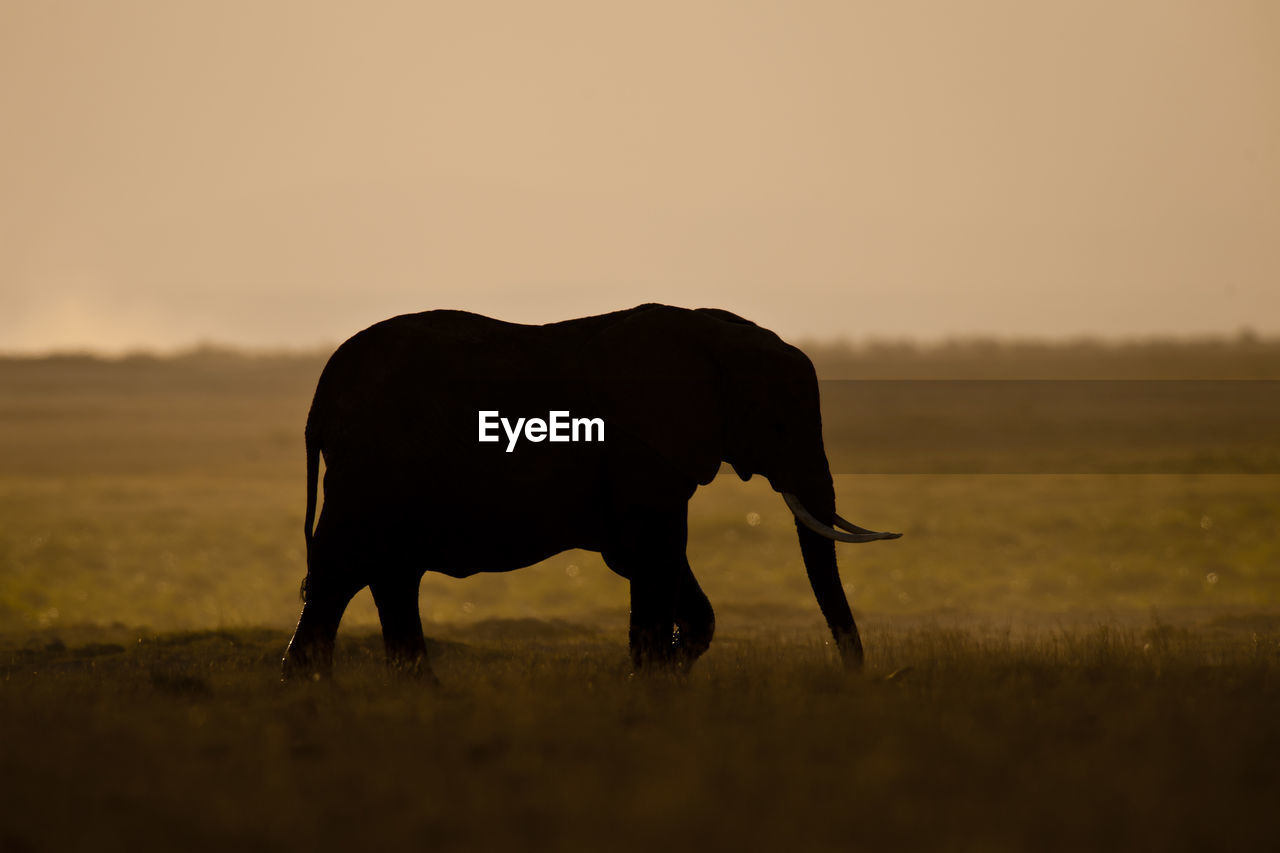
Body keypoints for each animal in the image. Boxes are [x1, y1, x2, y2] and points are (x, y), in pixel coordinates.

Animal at [280, 302, 901, 681]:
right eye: (777, 425)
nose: (853, 675)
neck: (712, 333)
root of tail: (320, 393)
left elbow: (653, 562)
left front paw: (662, 674)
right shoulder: (641, 452)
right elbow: (653, 555)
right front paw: (652, 681)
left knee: (387, 574)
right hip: (370, 470)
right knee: (344, 570)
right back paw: (315, 691)